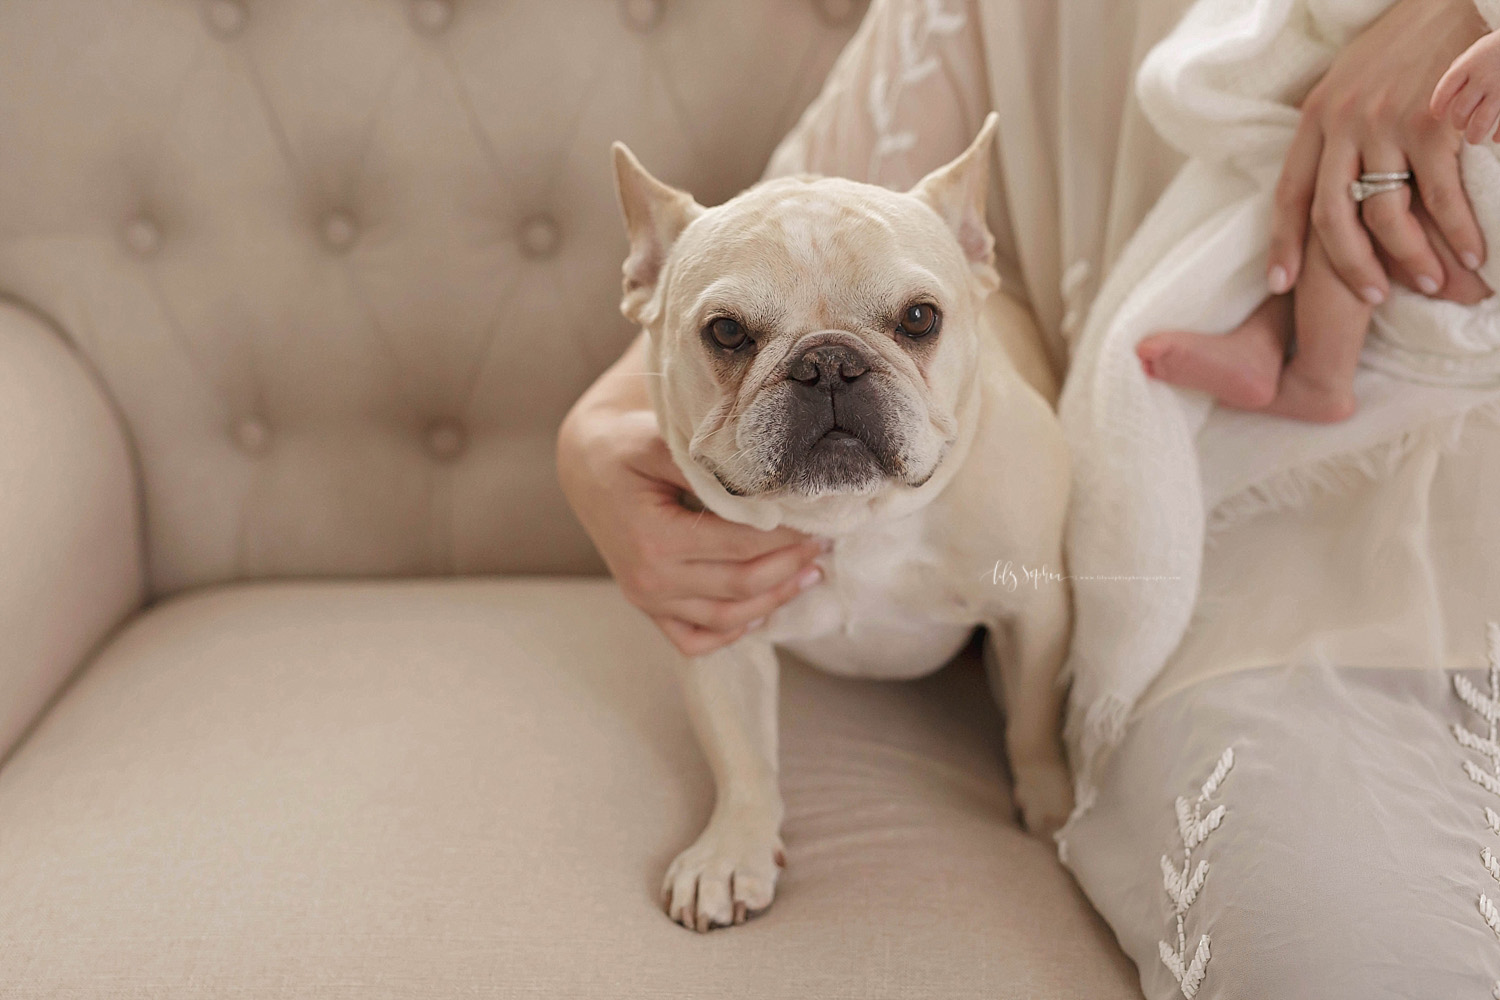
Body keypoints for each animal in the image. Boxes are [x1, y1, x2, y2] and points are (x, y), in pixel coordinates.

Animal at [615, 115, 1074, 929]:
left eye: (920, 318)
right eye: (726, 333)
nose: (827, 362)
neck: (851, 519)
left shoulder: (1035, 613)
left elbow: (1031, 716)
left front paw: (1050, 803)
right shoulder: (717, 629)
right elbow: (740, 755)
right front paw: (732, 850)